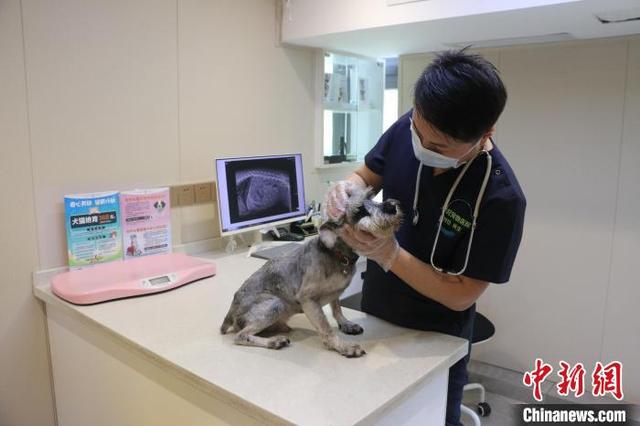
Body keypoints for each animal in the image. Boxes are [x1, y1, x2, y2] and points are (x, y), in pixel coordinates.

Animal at [220, 188, 400, 358]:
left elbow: (337, 309)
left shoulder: (335, 293)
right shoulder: (308, 300)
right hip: (275, 304)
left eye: (371, 198)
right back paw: (274, 341)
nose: (392, 206)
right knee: (241, 335)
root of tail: (230, 311)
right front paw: (343, 346)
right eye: (359, 211)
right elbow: (326, 329)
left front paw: (346, 324)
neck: (337, 255)